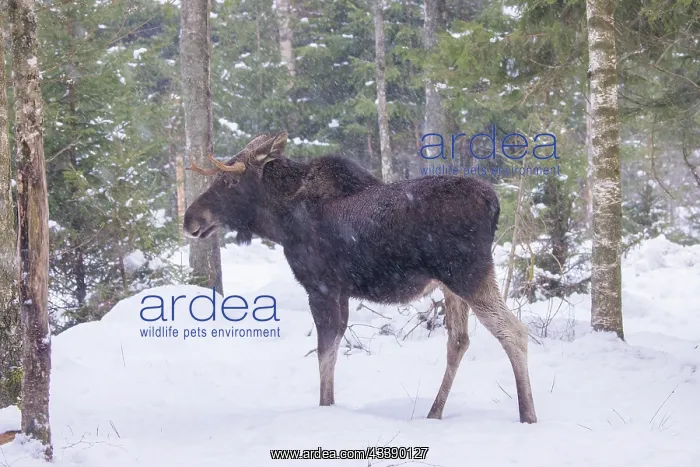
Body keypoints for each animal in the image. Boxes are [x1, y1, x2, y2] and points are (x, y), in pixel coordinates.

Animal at [183, 131, 537, 423]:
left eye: (230, 183)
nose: (190, 219)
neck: (280, 222)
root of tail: (494, 204)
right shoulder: (341, 291)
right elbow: (334, 348)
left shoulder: (321, 287)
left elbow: (324, 352)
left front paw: (325, 408)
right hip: (452, 286)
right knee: (459, 341)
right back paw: (434, 412)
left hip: (468, 274)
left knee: (514, 331)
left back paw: (527, 415)